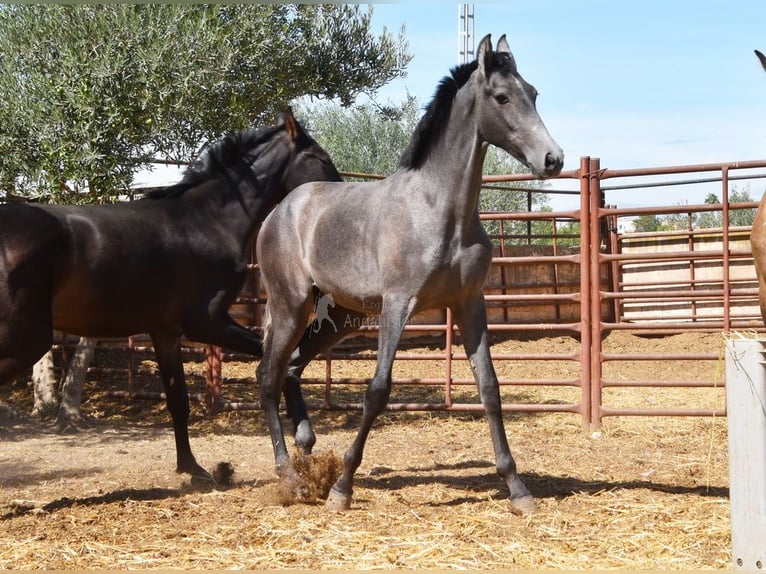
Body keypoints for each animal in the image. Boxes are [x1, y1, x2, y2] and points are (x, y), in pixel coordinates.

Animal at [0, 109, 342, 486]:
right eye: (321, 159)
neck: (206, 221)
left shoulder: (165, 333)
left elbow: (179, 401)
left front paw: (193, 468)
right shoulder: (206, 322)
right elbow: (278, 360)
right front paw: (304, 440)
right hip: (26, 340)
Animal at [258, 33, 564, 516]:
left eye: (532, 94)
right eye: (501, 97)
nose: (553, 159)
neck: (440, 211)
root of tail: (279, 212)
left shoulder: (470, 304)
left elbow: (490, 389)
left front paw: (518, 489)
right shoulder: (398, 307)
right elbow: (378, 390)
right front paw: (342, 489)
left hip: (338, 318)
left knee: (290, 367)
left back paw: (307, 456)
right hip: (290, 307)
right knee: (267, 378)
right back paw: (291, 476)